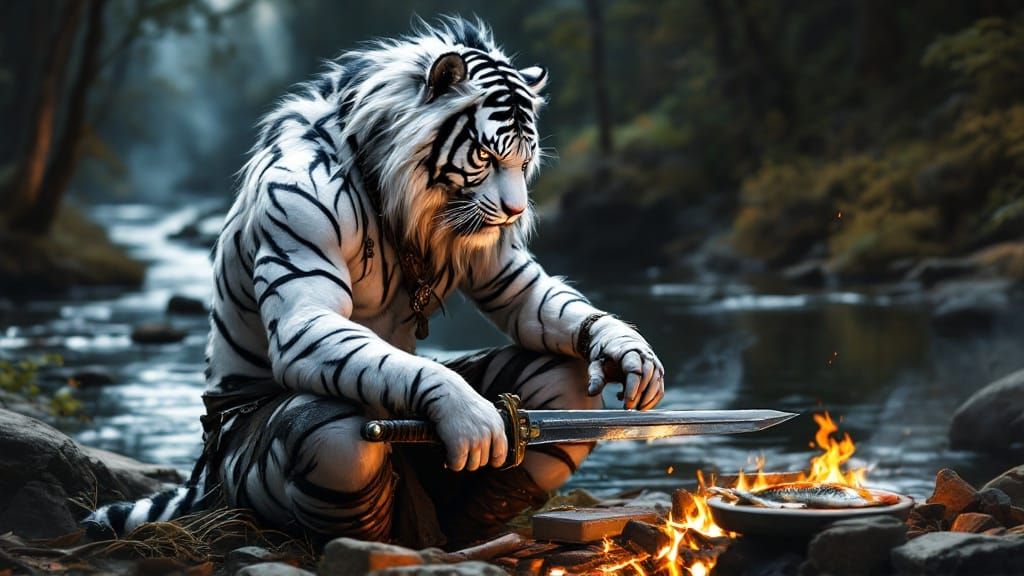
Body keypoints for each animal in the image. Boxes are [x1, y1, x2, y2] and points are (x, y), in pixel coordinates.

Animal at [86, 16, 665, 547]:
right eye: (488, 157)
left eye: (525, 162)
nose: (515, 210)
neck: (384, 180)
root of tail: (206, 479)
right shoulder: (298, 210)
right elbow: (314, 328)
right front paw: (467, 414)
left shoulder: (497, 259)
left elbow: (526, 295)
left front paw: (625, 348)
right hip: (259, 460)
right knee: (335, 432)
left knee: (562, 378)